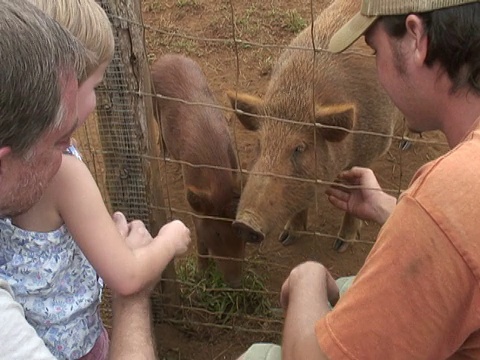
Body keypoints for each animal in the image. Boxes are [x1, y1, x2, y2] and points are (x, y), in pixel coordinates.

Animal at [152, 53, 246, 286]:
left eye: (238, 230)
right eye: (217, 234)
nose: (236, 283)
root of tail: (166, 57)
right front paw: (201, 274)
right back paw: (166, 155)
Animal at [227, 0, 400, 253]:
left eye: (300, 148)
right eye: (260, 143)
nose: (244, 223)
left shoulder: (372, 146)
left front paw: (340, 245)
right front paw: (287, 237)